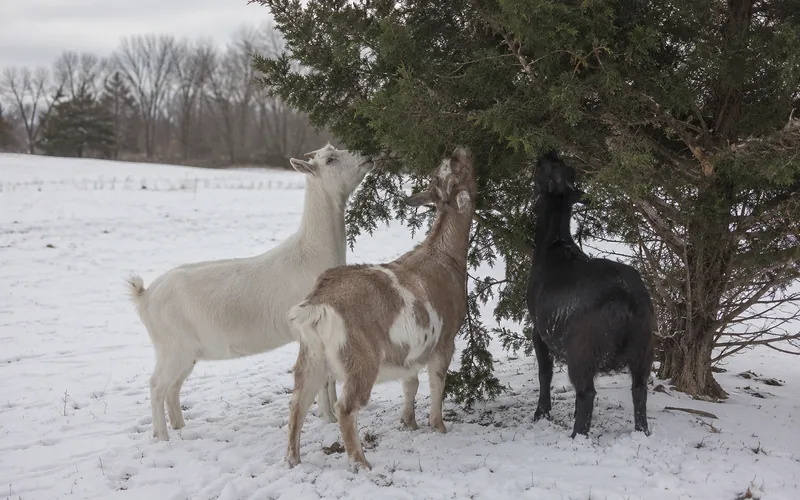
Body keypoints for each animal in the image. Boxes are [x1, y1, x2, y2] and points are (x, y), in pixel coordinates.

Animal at [126, 144, 374, 441]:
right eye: (330, 159)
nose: (368, 154)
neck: (310, 253)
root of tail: (145, 296)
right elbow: (323, 378)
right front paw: (328, 417)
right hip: (172, 347)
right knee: (156, 386)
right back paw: (162, 437)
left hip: (187, 353)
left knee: (172, 387)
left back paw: (179, 426)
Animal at [285, 147, 477, 470]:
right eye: (458, 168)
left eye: (443, 169)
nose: (460, 150)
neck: (444, 257)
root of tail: (319, 304)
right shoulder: (445, 339)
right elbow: (437, 383)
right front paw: (438, 426)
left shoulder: (412, 350)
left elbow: (410, 383)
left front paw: (409, 422)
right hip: (359, 359)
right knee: (346, 407)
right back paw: (361, 463)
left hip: (311, 354)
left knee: (299, 400)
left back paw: (293, 459)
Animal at [526, 151, 655, 438]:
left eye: (547, 169)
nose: (547, 153)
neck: (553, 243)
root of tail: (626, 296)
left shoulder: (539, 329)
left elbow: (545, 372)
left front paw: (541, 414)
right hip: (644, 346)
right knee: (639, 389)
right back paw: (642, 431)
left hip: (582, 350)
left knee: (586, 392)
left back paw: (577, 436)